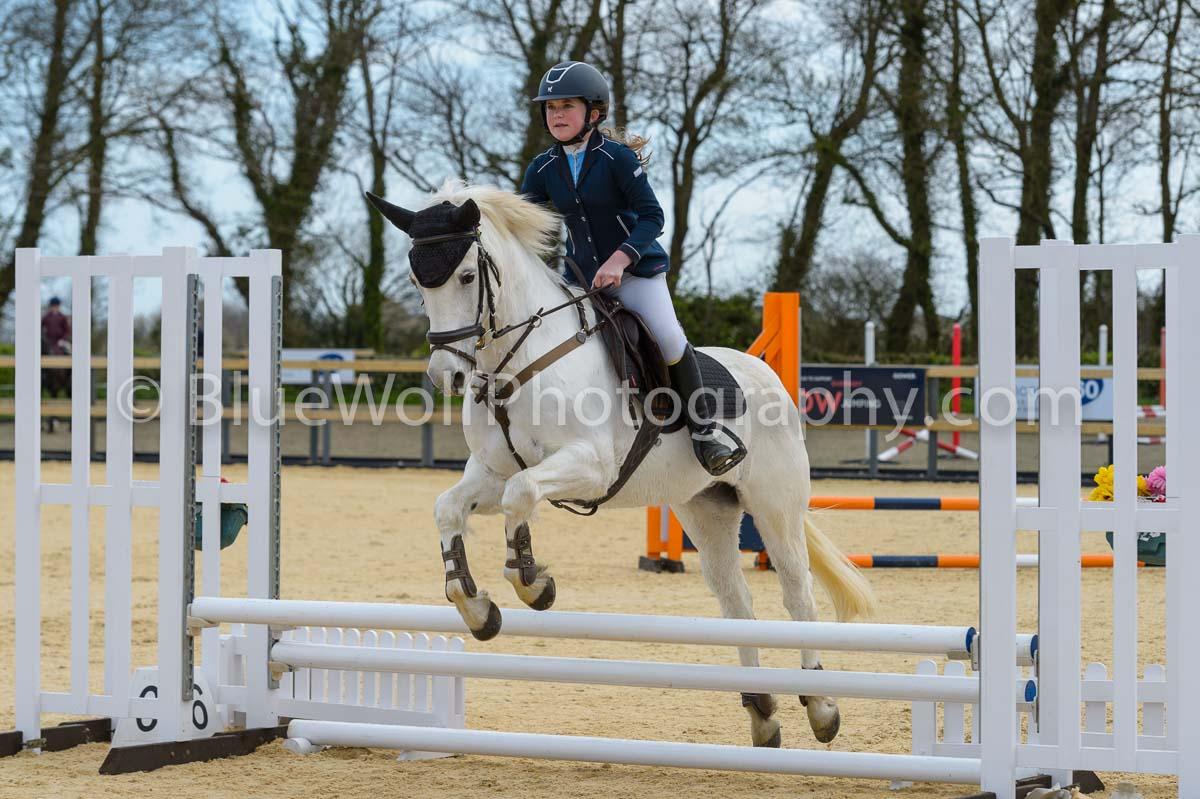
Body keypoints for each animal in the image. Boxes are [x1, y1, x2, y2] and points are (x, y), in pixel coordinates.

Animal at [367, 180, 876, 749]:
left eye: (466, 276)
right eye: (418, 281)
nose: (448, 378)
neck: (521, 361)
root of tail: (767, 375)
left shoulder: (590, 466)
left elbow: (522, 495)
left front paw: (532, 583)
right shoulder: (490, 472)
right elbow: (449, 509)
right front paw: (478, 610)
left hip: (775, 507)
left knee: (797, 593)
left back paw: (822, 706)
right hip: (707, 510)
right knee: (736, 601)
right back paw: (762, 713)